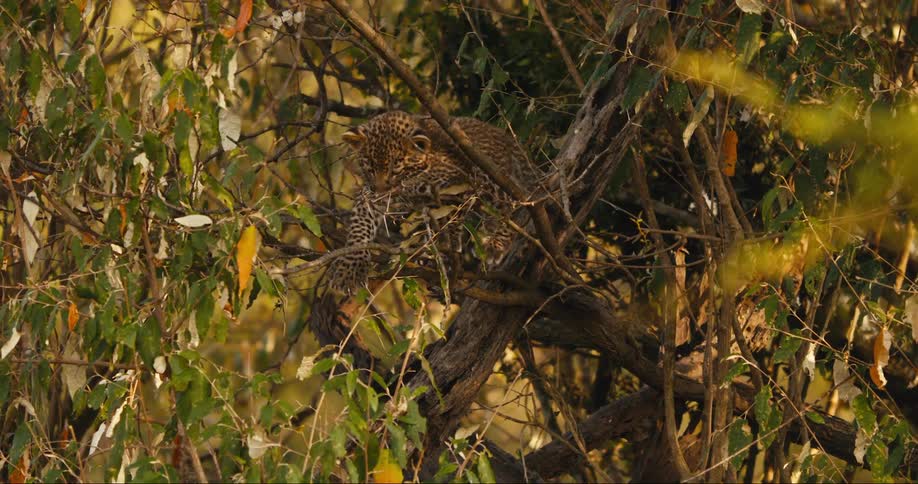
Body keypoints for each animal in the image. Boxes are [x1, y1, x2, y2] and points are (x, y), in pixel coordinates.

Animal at [327, 110, 531, 294]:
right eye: (369, 166)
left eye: (396, 169)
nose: (381, 193)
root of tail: (508, 139)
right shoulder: (369, 195)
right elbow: (360, 228)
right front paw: (349, 269)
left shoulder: (459, 179)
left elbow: (448, 215)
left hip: (492, 178)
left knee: (516, 202)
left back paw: (495, 245)